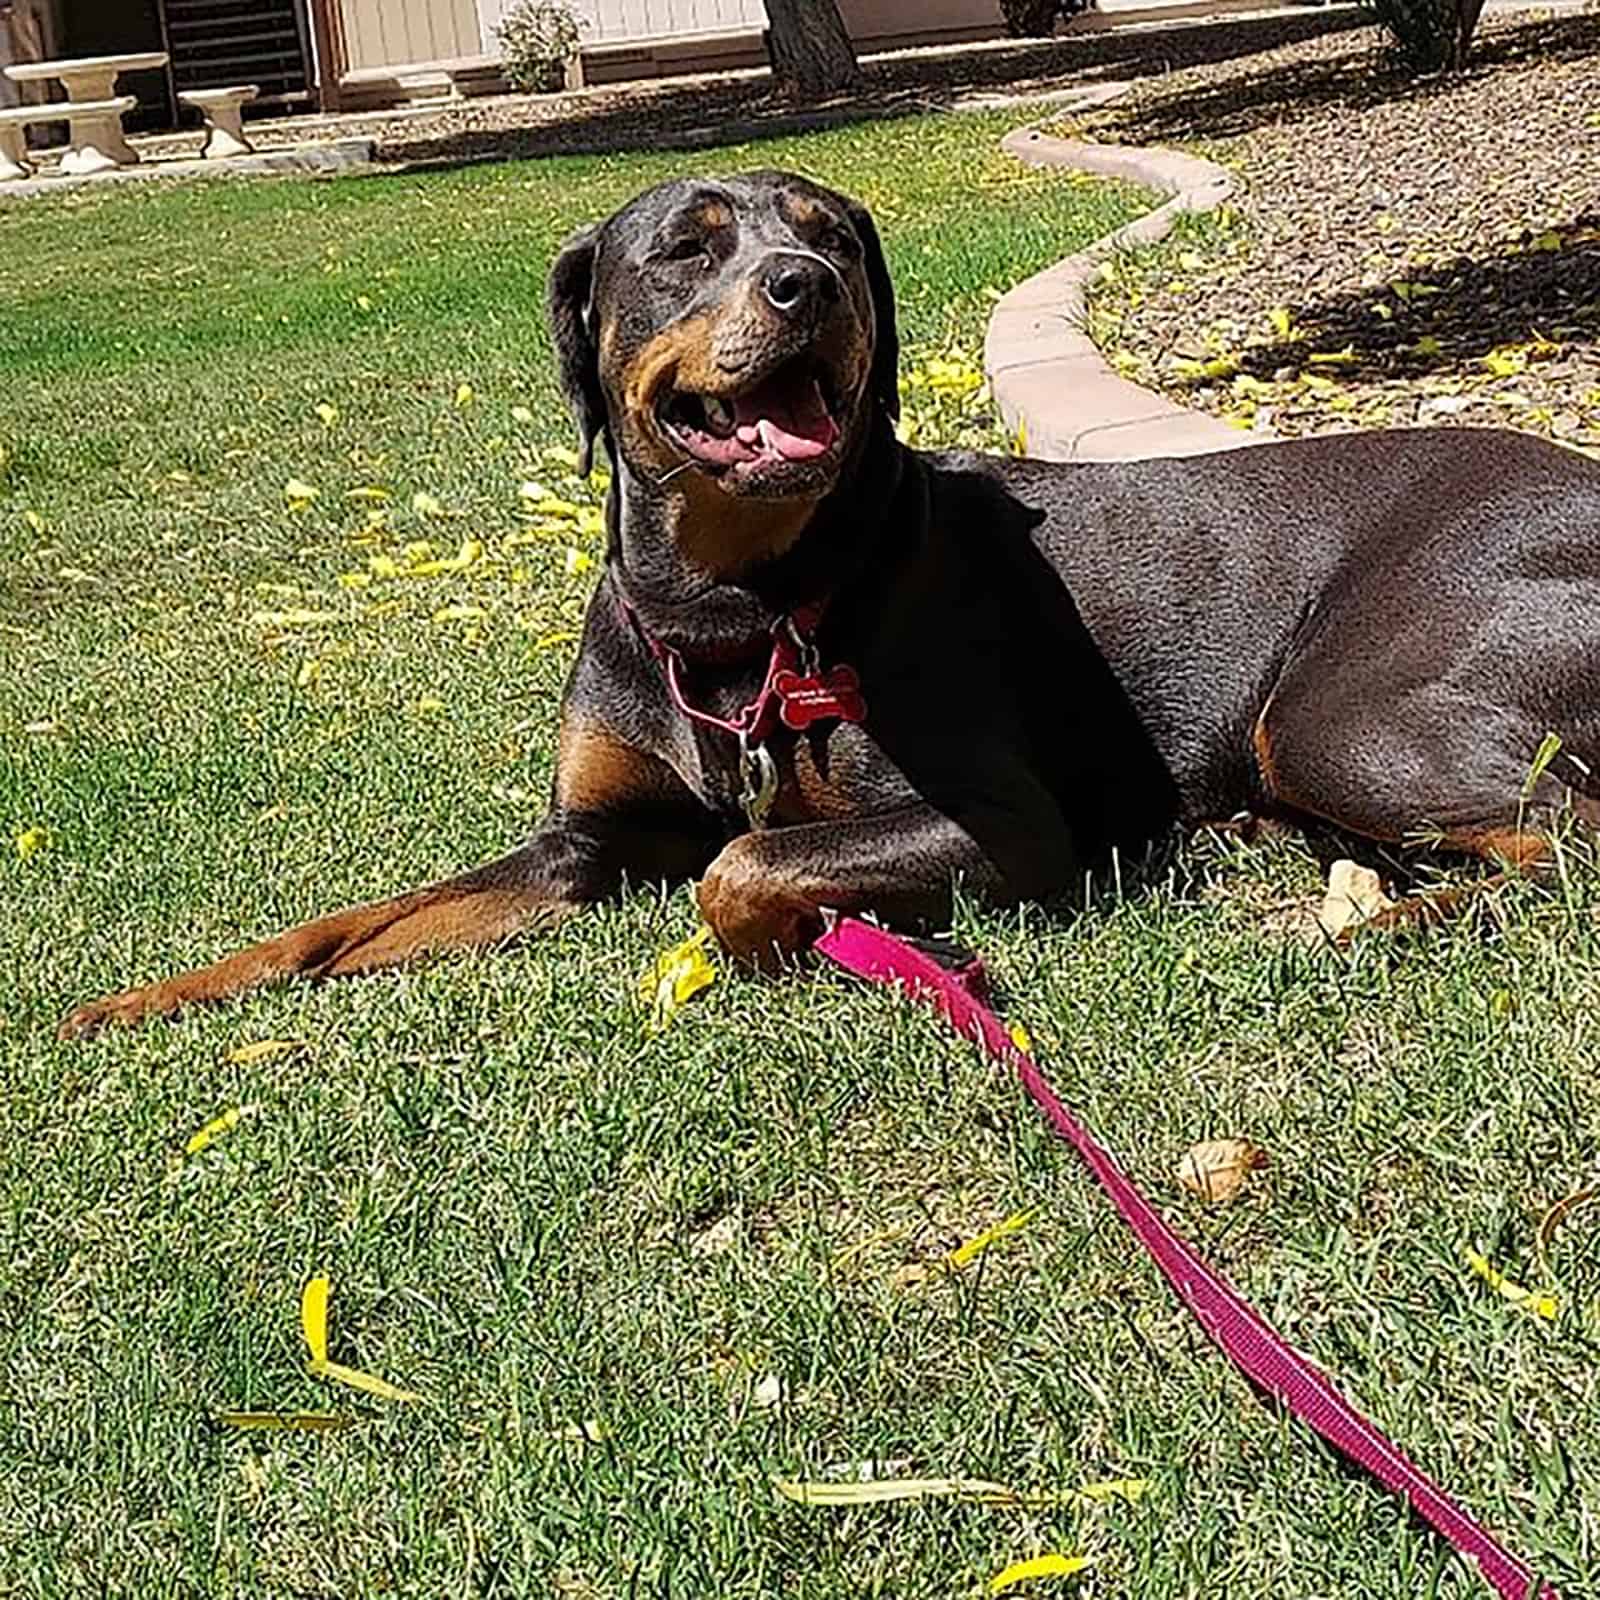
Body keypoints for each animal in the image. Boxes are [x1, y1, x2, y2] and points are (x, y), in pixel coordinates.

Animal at [56, 165, 1600, 1036]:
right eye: (687, 248)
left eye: (835, 240)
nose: (807, 286)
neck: (727, 608)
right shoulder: (582, 840)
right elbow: (342, 924)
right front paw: (143, 998)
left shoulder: (996, 817)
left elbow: (743, 864)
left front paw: (838, 943)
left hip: (1343, 706)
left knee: (1563, 846)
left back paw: (1367, 918)